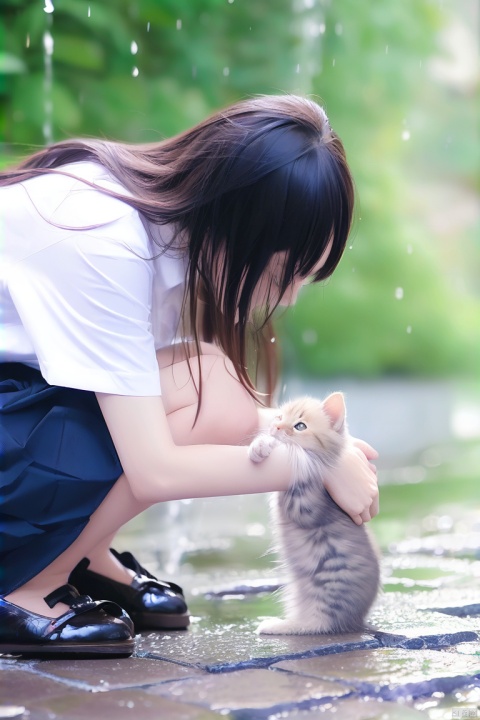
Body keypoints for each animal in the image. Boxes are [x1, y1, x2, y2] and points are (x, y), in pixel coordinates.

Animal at [249, 394, 380, 636]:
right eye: (279, 417)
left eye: (300, 426)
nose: (276, 426)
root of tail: (357, 620)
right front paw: (261, 443)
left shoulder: (305, 506)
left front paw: (269, 444)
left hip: (329, 584)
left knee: (316, 624)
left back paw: (275, 625)